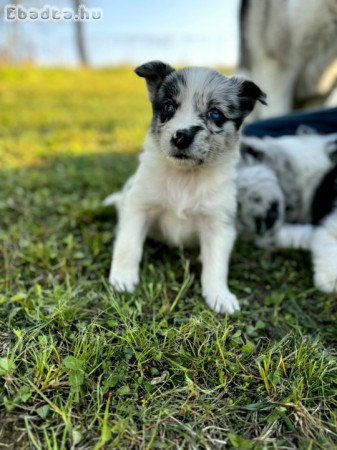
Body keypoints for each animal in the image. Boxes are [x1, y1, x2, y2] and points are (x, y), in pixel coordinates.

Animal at [103, 60, 264, 312]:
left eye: (215, 113)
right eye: (168, 107)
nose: (181, 136)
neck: (185, 177)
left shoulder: (218, 224)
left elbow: (216, 265)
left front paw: (219, 295)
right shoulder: (138, 206)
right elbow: (128, 245)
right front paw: (123, 278)